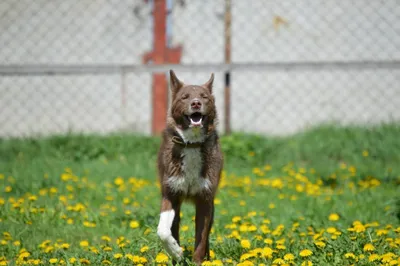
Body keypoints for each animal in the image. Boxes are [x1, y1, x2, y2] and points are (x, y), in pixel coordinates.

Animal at [156, 69, 223, 264]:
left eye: (204, 97)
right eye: (185, 97)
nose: (196, 103)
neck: (192, 143)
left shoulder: (205, 198)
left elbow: (201, 237)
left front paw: (198, 261)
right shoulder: (170, 193)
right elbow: (163, 230)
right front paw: (176, 253)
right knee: (174, 226)